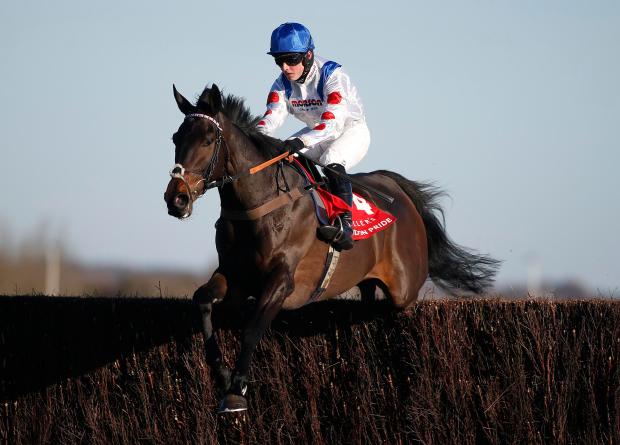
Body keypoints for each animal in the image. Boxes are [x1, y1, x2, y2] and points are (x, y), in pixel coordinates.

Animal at [163, 84, 498, 412]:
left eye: (208, 140)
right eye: (176, 137)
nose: (176, 198)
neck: (258, 204)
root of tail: (398, 190)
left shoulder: (282, 280)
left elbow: (251, 328)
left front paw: (236, 391)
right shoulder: (234, 274)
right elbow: (202, 301)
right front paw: (222, 375)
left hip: (404, 288)